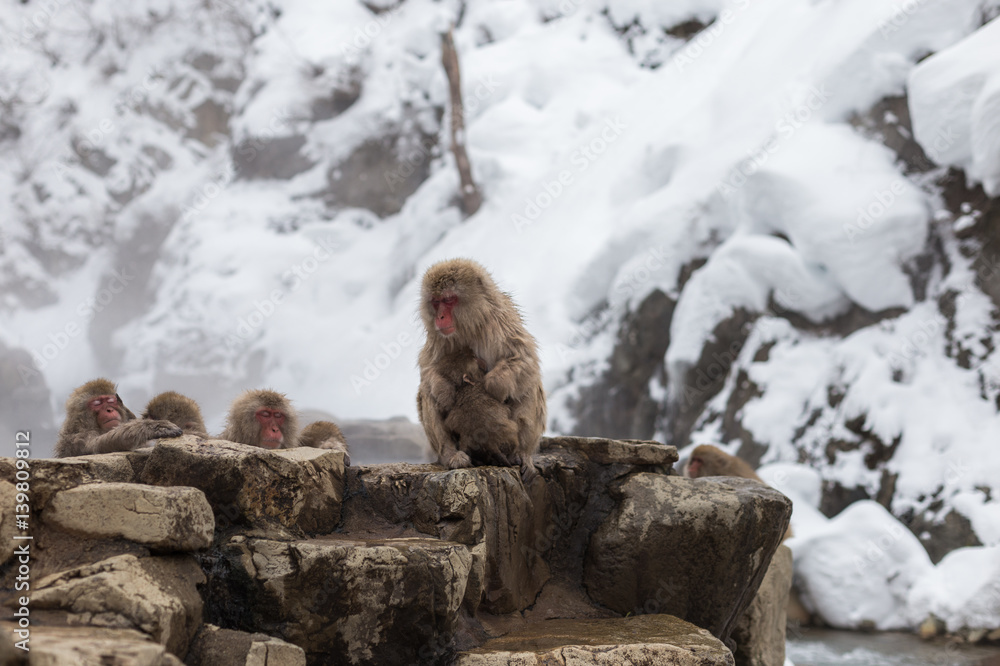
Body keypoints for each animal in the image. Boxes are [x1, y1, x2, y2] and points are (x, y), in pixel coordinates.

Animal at [54, 378, 183, 458]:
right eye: (97, 403)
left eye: (110, 401)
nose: (109, 410)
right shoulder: (78, 438)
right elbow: (97, 445)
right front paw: (152, 427)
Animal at [416, 258, 546, 483]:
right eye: (435, 301)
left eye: (448, 300)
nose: (440, 317)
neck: (470, 325)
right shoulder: (438, 338)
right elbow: (428, 371)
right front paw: (444, 390)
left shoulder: (500, 324)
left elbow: (523, 358)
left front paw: (491, 387)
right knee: (427, 392)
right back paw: (451, 454)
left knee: (527, 385)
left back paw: (522, 453)